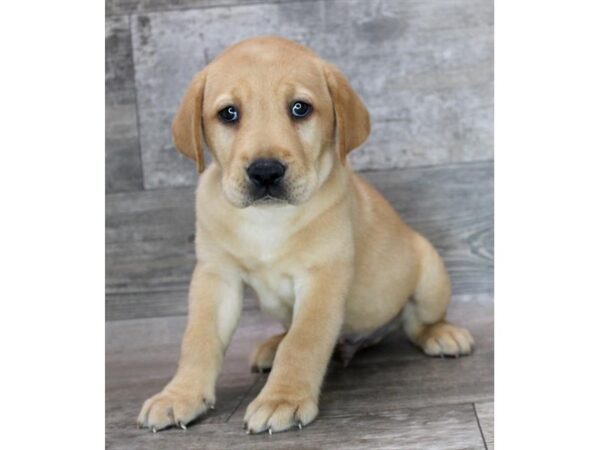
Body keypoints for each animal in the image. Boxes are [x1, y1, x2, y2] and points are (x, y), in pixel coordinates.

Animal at [137, 36, 474, 436]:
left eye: (300, 108)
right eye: (228, 113)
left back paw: (442, 334)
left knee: (417, 321)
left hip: (430, 272)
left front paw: (282, 399)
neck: (268, 220)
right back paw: (271, 345)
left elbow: (303, 342)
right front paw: (180, 395)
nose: (265, 172)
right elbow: (198, 338)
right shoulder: (215, 276)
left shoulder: (322, 276)